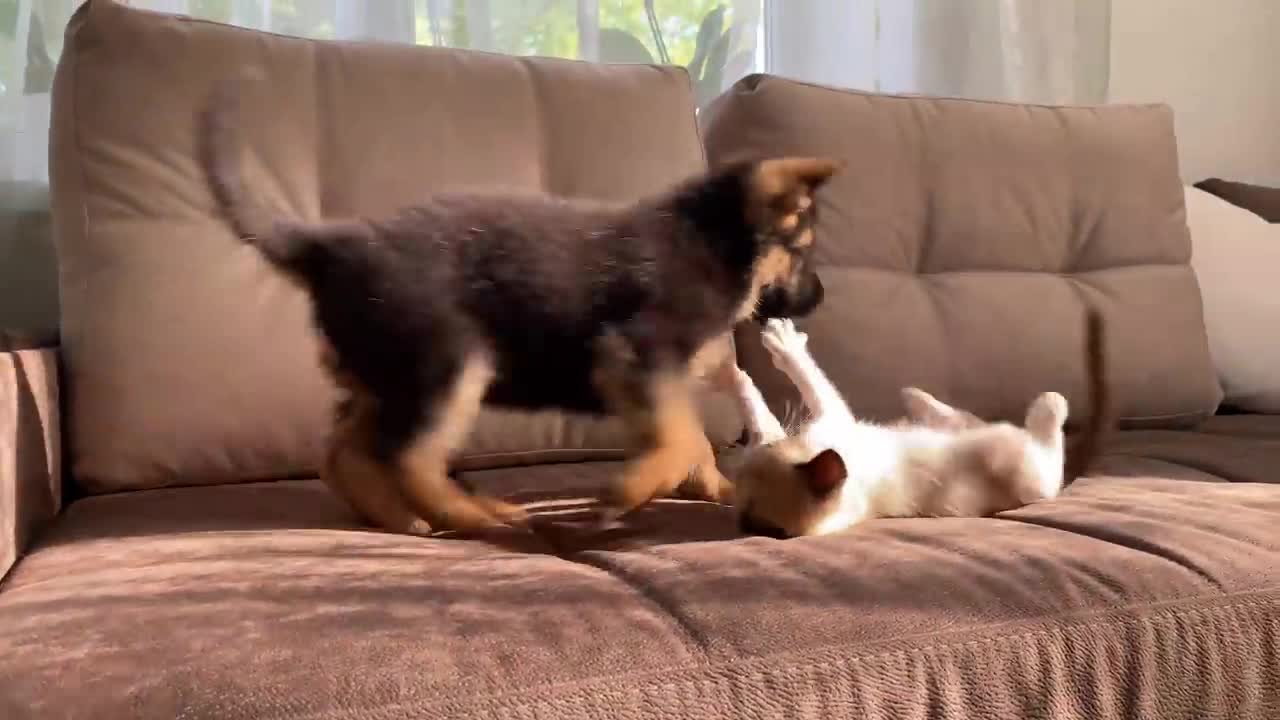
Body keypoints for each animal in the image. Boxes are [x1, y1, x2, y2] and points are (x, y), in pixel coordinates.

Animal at [197, 75, 839, 532]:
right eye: (802, 250)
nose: (821, 295)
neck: (716, 243)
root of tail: (331, 246)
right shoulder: (637, 355)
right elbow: (682, 436)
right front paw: (631, 491)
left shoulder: (657, 378)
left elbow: (693, 439)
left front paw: (712, 487)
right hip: (450, 362)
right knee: (411, 458)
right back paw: (475, 516)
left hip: (384, 376)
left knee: (345, 456)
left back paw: (400, 517)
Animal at [721, 310, 1111, 538]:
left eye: (771, 447)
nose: (739, 453)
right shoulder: (830, 419)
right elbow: (780, 388)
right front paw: (746, 359)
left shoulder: (819, 422)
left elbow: (766, 396)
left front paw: (736, 362)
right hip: (1024, 460)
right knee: (1041, 436)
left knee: (974, 420)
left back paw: (915, 398)